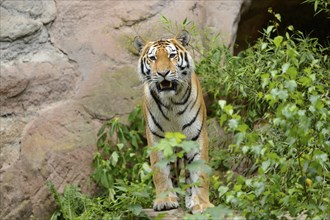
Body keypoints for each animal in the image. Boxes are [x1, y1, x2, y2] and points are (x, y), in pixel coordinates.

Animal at [134, 30, 214, 213]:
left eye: (172, 55)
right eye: (153, 58)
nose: (163, 73)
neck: (171, 103)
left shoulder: (196, 137)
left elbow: (200, 173)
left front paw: (202, 204)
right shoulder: (156, 139)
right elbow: (161, 173)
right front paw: (165, 201)